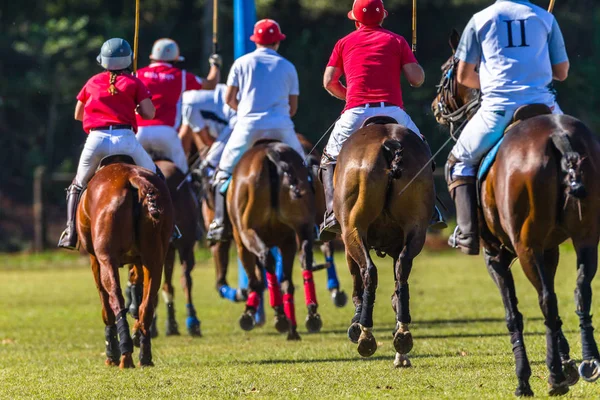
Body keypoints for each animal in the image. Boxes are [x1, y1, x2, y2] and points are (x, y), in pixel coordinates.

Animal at [76, 157, 172, 368]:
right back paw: (144, 355)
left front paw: (111, 352)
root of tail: (134, 177)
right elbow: (137, 290)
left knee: (116, 299)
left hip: (107, 259)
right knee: (147, 304)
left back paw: (124, 355)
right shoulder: (139, 259)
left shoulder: (95, 259)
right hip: (155, 257)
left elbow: (106, 305)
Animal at [227, 139, 322, 340]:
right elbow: (284, 279)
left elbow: (255, 279)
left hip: (246, 232)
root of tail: (271, 154)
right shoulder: (287, 241)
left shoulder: (240, 242)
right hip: (301, 229)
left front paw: (249, 313)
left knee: (265, 258)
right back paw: (307, 317)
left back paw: (280, 315)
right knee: (303, 262)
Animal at [336, 117, 434, 368]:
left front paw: (356, 324)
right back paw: (403, 336)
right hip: (416, 227)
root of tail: (390, 144)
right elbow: (396, 291)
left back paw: (366, 335)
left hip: (352, 229)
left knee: (369, 271)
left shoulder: (347, 238)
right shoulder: (397, 244)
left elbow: (357, 283)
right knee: (402, 270)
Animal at [434, 31, 596, 396]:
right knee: (581, 291)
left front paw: (528, 377)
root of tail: (559, 137)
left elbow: (514, 313)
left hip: (524, 246)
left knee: (547, 301)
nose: (436, 106)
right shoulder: (549, 249)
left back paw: (551, 378)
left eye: (447, 69)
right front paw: (566, 361)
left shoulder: (497, 255)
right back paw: (589, 361)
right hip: (585, 237)